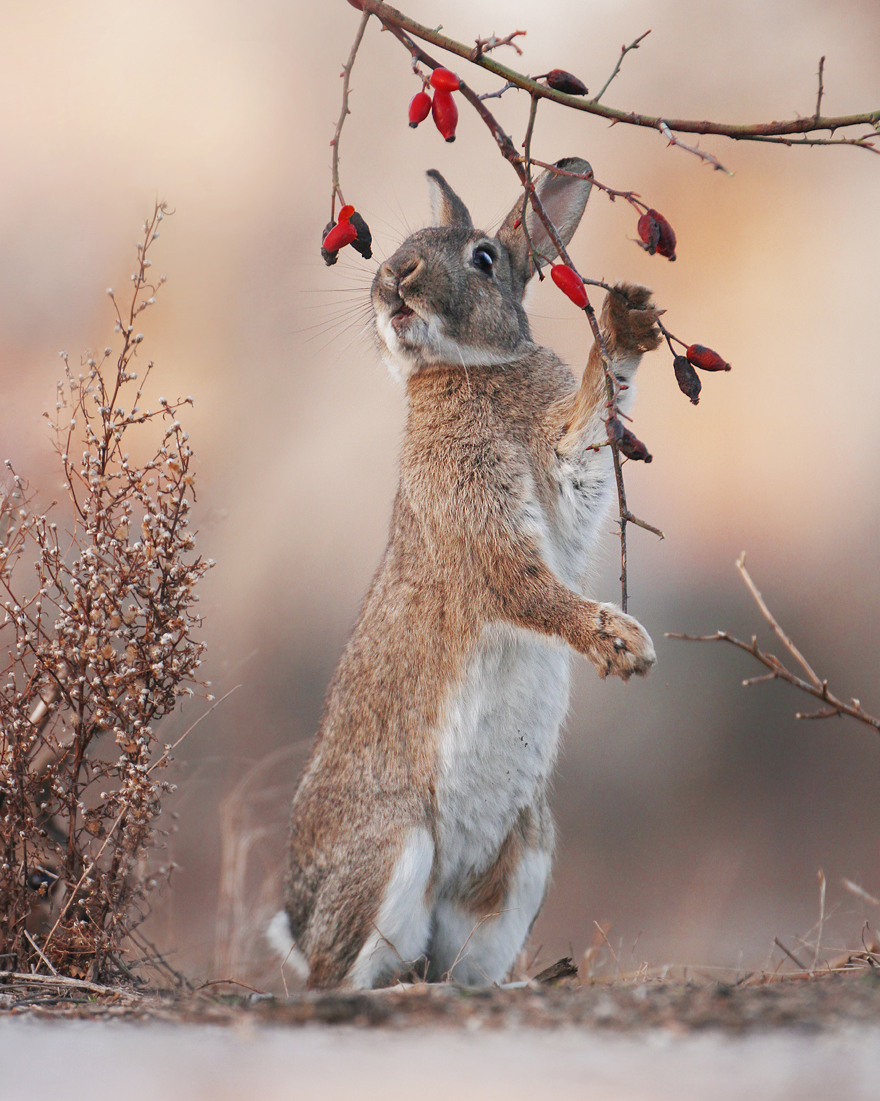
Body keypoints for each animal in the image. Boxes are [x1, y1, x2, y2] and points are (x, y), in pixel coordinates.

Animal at [268, 157, 660, 990]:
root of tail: (297, 921)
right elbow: (526, 587)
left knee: (455, 965)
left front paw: (630, 321)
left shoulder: (563, 482)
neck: (470, 369)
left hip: (525, 855)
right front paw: (622, 643)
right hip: (394, 846)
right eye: (405, 243)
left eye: (483, 258)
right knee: (343, 980)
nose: (395, 274)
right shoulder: (481, 522)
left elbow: (588, 434)